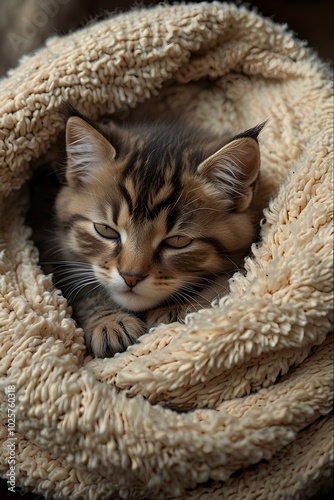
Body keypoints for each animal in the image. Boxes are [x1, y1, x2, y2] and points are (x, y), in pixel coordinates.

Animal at [51, 108, 264, 360]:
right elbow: (84, 288)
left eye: (177, 241)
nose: (130, 277)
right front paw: (108, 322)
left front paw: (177, 308)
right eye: (106, 231)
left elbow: (226, 282)